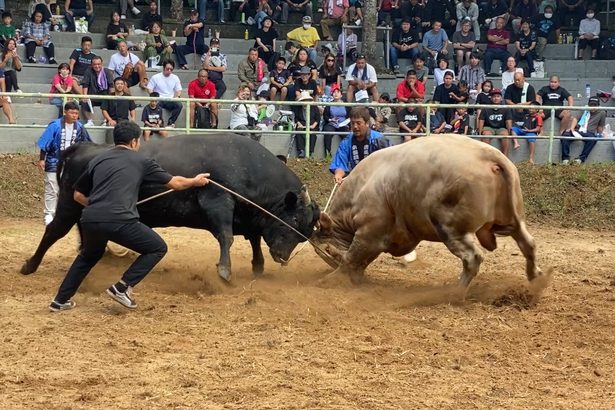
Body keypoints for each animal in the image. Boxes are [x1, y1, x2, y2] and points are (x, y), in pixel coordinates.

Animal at [21, 135, 322, 282]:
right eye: (295, 221)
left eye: (305, 233)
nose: (283, 257)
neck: (245, 163)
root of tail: (84, 147)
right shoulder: (218, 201)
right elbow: (226, 237)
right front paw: (225, 271)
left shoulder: (248, 216)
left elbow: (255, 237)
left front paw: (258, 266)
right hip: (68, 206)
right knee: (54, 231)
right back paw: (30, 265)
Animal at [312, 133, 544, 286]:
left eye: (326, 249)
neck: (363, 184)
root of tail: (490, 157)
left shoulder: (370, 233)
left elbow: (353, 257)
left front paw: (332, 278)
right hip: (512, 220)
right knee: (528, 243)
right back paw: (536, 278)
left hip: (450, 227)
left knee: (472, 258)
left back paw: (456, 291)